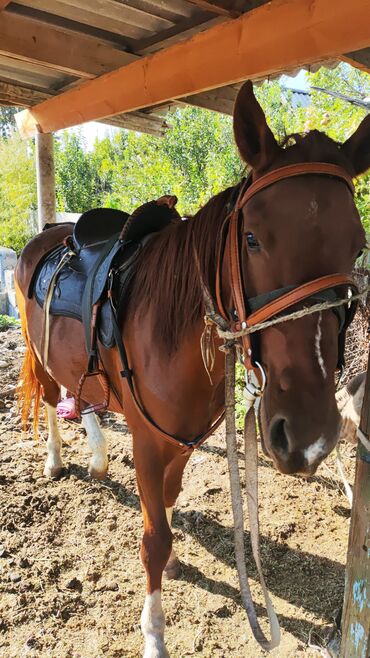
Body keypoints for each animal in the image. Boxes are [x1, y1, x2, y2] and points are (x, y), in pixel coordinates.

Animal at [14, 83, 368, 656]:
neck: (171, 330)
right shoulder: (146, 441)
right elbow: (153, 539)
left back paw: (97, 460)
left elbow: (167, 502)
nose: (308, 437)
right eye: (252, 238)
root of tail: (49, 232)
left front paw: (176, 553)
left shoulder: (179, 440)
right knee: (50, 400)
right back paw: (55, 461)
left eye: (357, 245)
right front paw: (154, 634)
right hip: (38, 351)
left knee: (85, 399)